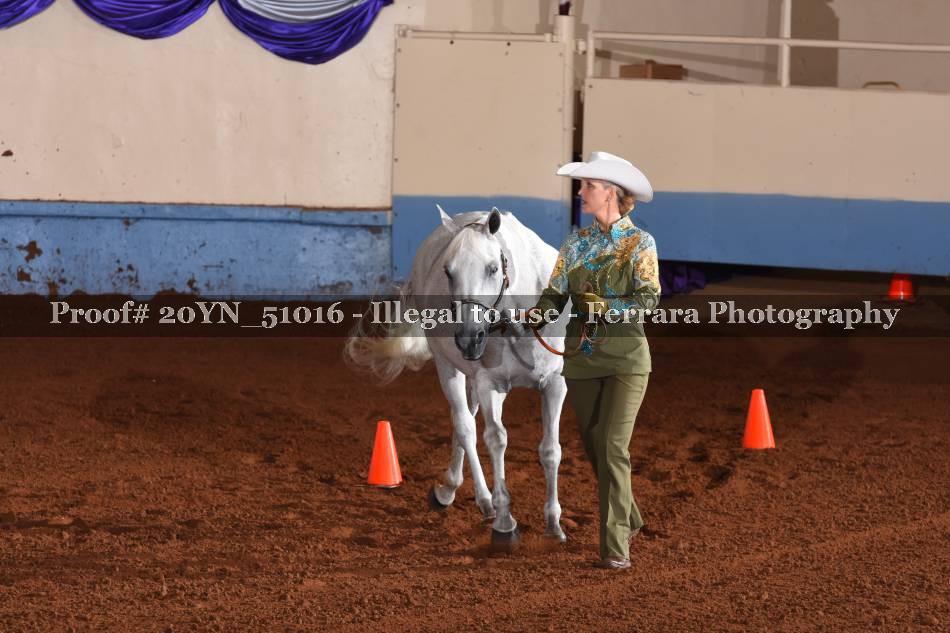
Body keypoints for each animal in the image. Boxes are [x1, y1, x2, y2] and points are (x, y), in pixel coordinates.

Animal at [345, 207, 570, 547]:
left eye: (493, 268)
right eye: (448, 272)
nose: (468, 338)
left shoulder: (554, 384)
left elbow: (550, 450)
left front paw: (554, 523)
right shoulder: (490, 385)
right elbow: (495, 440)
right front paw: (504, 522)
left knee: (467, 422)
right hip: (448, 367)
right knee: (465, 426)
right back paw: (476, 499)